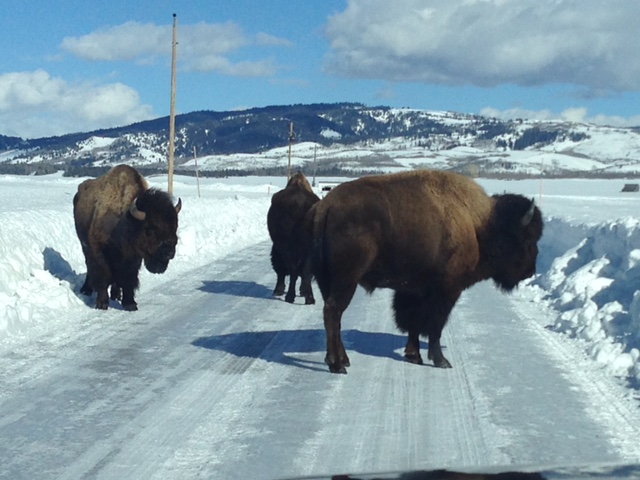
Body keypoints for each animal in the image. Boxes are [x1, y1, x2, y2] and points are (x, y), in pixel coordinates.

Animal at [74, 164, 181, 312]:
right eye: (150, 230)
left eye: (175, 226)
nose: (169, 252)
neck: (127, 220)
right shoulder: (98, 250)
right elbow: (102, 274)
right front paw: (102, 304)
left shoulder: (133, 257)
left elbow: (129, 278)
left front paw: (130, 304)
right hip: (84, 245)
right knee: (90, 267)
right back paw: (86, 290)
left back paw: (116, 295)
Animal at [268, 171, 322, 302]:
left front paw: (278, 290)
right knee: (304, 271)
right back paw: (309, 298)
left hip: (288, 249)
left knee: (293, 270)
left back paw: (290, 296)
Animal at [308, 170, 544, 376]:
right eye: (526, 237)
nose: (530, 270)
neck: (480, 224)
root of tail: (326, 207)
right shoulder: (447, 290)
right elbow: (435, 324)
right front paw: (441, 360)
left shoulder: (414, 290)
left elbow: (414, 321)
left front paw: (414, 356)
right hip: (347, 280)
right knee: (333, 311)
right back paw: (336, 364)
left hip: (326, 279)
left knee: (334, 315)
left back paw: (344, 359)